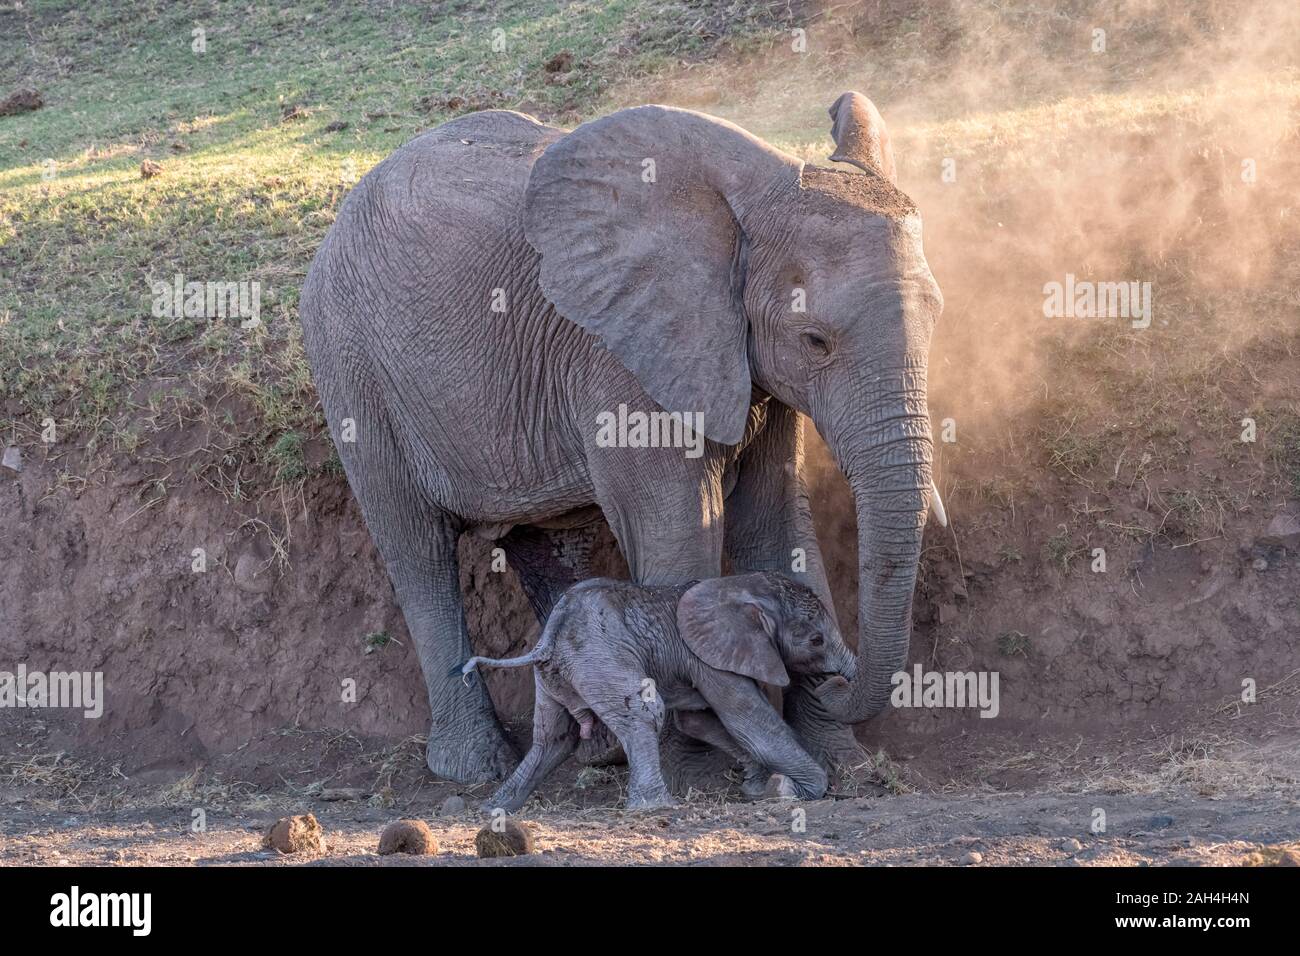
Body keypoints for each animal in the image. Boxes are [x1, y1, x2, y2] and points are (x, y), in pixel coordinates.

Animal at [299, 89, 941, 780]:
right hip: (351, 365)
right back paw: (477, 768)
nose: (839, 677)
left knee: (551, 545)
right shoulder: (621, 353)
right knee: (417, 551)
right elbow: (680, 530)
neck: (736, 215)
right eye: (815, 340)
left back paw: (597, 749)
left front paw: (842, 766)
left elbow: (778, 524)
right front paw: (701, 767)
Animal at [462, 572, 857, 811]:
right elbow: (747, 721)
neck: (741, 585)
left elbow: (699, 722)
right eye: (816, 641)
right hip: (598, 656)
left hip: (554, 674)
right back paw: (655, 807)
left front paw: (758, 788)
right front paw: (791, 790)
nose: (835, 681)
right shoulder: (709, 657)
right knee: (645, 713)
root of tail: (550, 635)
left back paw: (496, 808)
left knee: (553, 738)